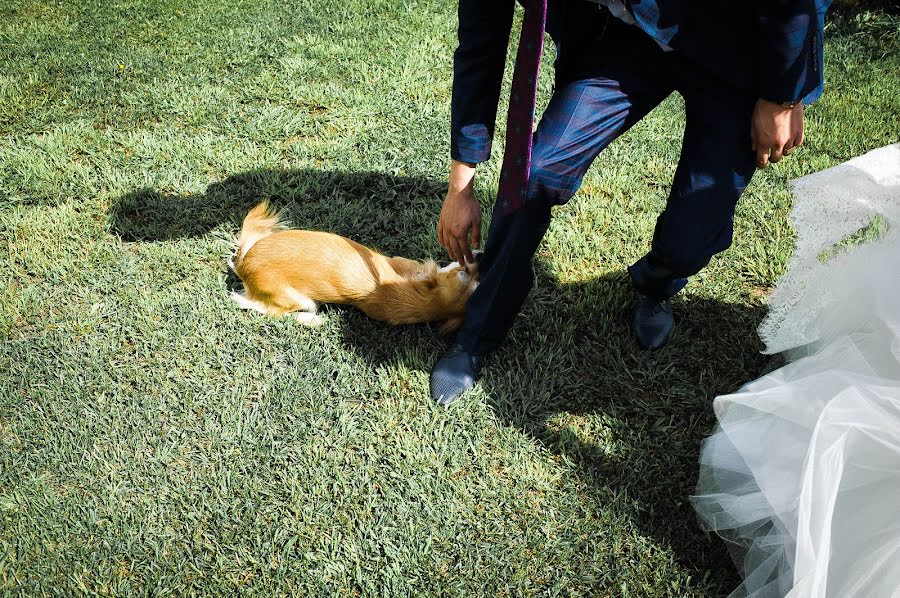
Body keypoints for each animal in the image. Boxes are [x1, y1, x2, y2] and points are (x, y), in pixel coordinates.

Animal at [232, 202, 478, 332]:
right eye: (463, 271)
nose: (482, 254)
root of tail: (244, 263)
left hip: (300, 300)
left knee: (264, 309)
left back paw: (311, 319)